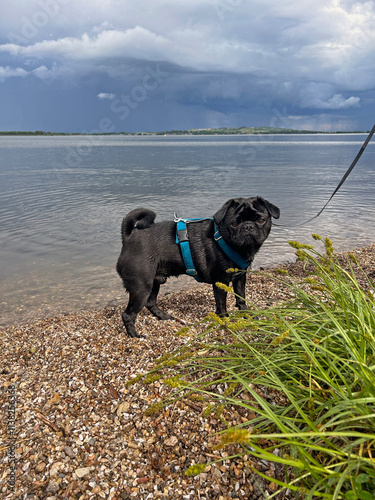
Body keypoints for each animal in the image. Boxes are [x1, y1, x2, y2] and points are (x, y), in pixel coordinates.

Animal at [117, 195, 280, 336]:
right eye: (234, 224)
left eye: (261, 220)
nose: (248, 226)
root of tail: (128, 237)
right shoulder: (220, 282)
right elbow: (222, 305)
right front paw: (226, 321)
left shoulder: (239, 278)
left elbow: (241, 298)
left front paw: (247, 315)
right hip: (141, 287)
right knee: (128, 314)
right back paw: (134, 335)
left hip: (154, 283)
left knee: (151, 303)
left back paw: (163, 317)